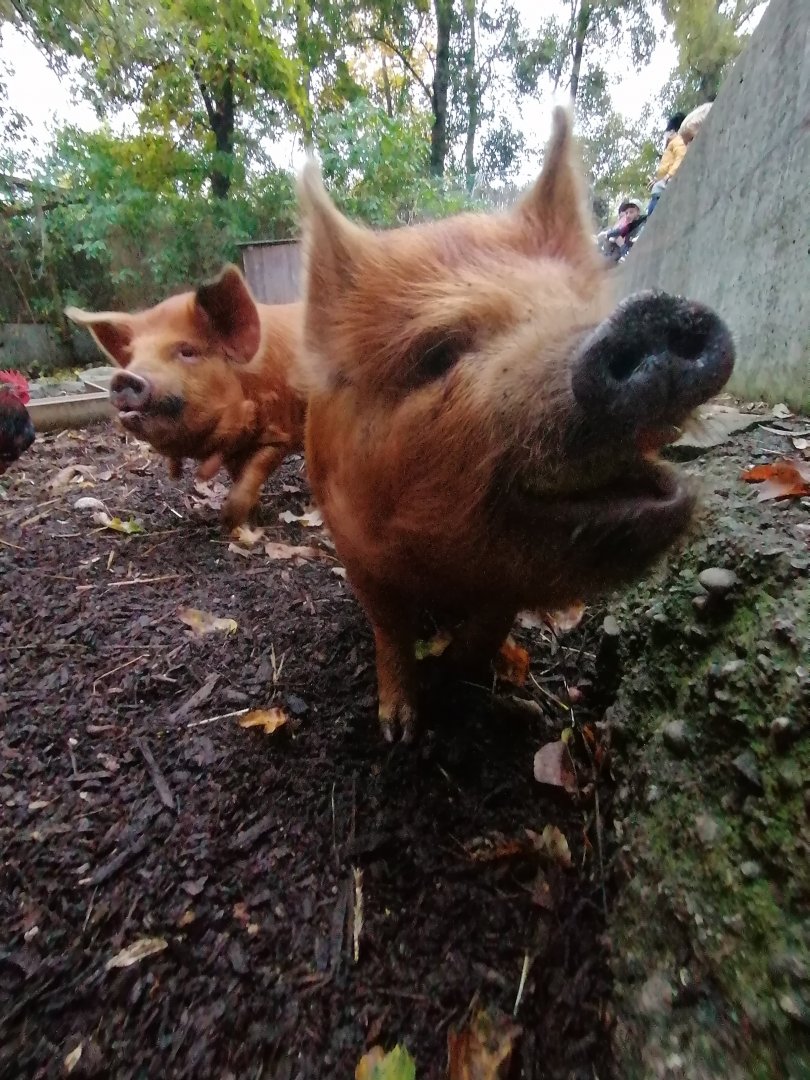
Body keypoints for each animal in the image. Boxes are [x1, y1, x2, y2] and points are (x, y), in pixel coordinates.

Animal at [66, 266, 305, 530]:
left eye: (188, 352)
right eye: (132, 357)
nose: (124, 377)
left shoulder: (280, 434)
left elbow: (254, 473)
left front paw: (230, 522)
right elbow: (239, 478)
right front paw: (250, 518)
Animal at [298, 107, 735, 743]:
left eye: (579, 305)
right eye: (438, 354)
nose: (650, 314)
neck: (448, 565)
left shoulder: (503, 590)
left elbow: (489, 626)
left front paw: (468, 675)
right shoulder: (353, 544)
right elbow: (390, 629)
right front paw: (400, 730)